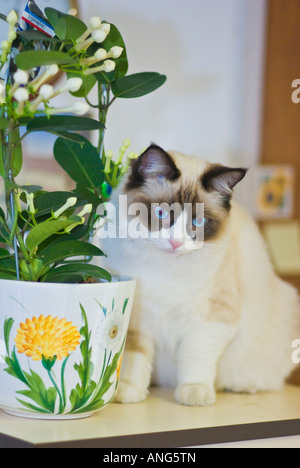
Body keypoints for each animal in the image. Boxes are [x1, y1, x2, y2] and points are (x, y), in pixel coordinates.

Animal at [99, 145, 300, 406]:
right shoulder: (137, 317)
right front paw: (129, 390)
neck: (166, 271)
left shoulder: (209, 318)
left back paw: (243, 388)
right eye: (161, 213)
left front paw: (194, 393)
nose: (176, 243)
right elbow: (136, 358)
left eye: (198, 221)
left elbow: (197, 355)